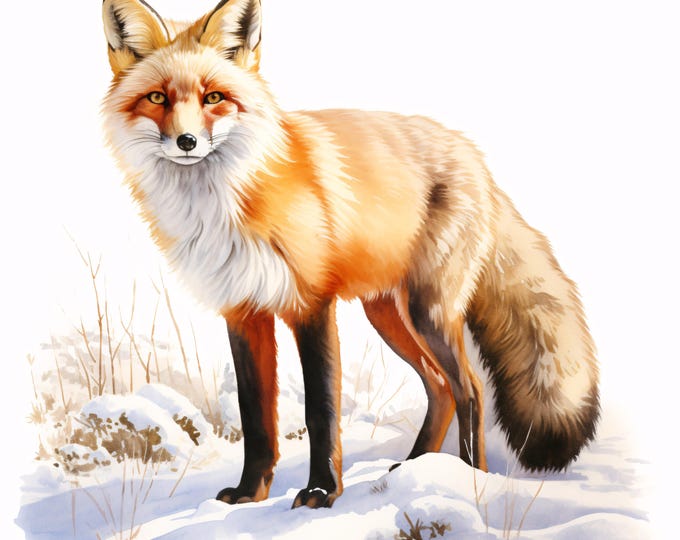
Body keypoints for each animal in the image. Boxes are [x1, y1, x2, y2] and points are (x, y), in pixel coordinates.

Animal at [101, 0, 599, 509]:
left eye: (214, 97)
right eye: (157, 99)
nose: (186, 142)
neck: (224, 204)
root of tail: (474, 157)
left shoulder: (310, 303)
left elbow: (320, 410)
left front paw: (321, 491)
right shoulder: (243, 310)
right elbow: (256, 416)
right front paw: (249, 493)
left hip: (428, 312)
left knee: (471, 389)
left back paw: (470, 477)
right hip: (388, 315)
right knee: (440, 388)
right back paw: (415, 466)